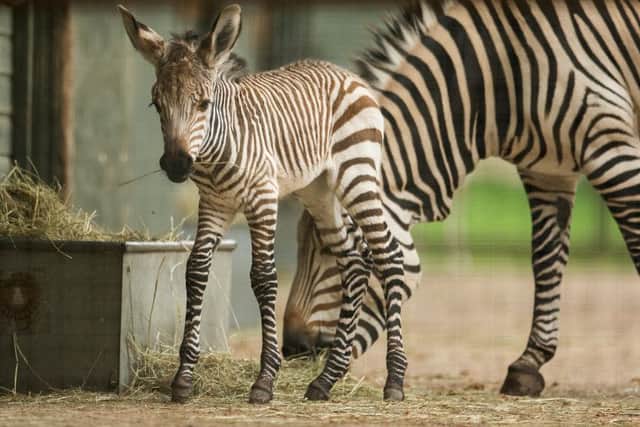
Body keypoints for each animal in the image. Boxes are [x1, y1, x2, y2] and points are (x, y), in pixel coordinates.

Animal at [118, 4, 409, 403]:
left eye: (203, 104)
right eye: (156, 104)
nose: (177, 165)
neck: (218, 149)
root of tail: (347, 74)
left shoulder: (263, 199)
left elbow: (264, 277)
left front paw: (265, 380)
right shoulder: (214, 204)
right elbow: (196, 271)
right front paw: (183, 378)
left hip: (357, 175)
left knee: (387, 255)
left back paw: (394, 380)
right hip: (319, 192)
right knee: (353, 263)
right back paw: (324, 381)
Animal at [284, 0, 640, 397]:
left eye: (337, 251)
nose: (291, 346)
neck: (498, 74)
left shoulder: (611, 151)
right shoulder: (547, 171)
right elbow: (547, 260)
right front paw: (527, 365)